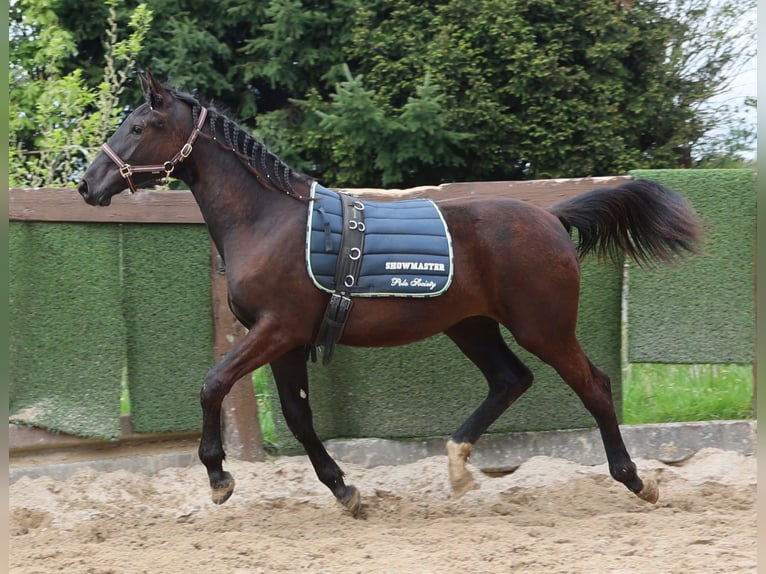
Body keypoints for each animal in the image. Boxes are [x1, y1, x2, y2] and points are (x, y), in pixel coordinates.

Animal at [78, 71, 704, 516]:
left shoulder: (276, 329)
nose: (88, 184)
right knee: (511, 379)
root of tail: (551, 218)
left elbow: (212, 385)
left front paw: (219, 477)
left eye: (138, 128)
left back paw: (636, 480)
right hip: (471, 326)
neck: (268, 219)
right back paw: (457, 464)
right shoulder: (286, 342)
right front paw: (345, 491)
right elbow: (298, 418)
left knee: (593, 385)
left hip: (543, 328)